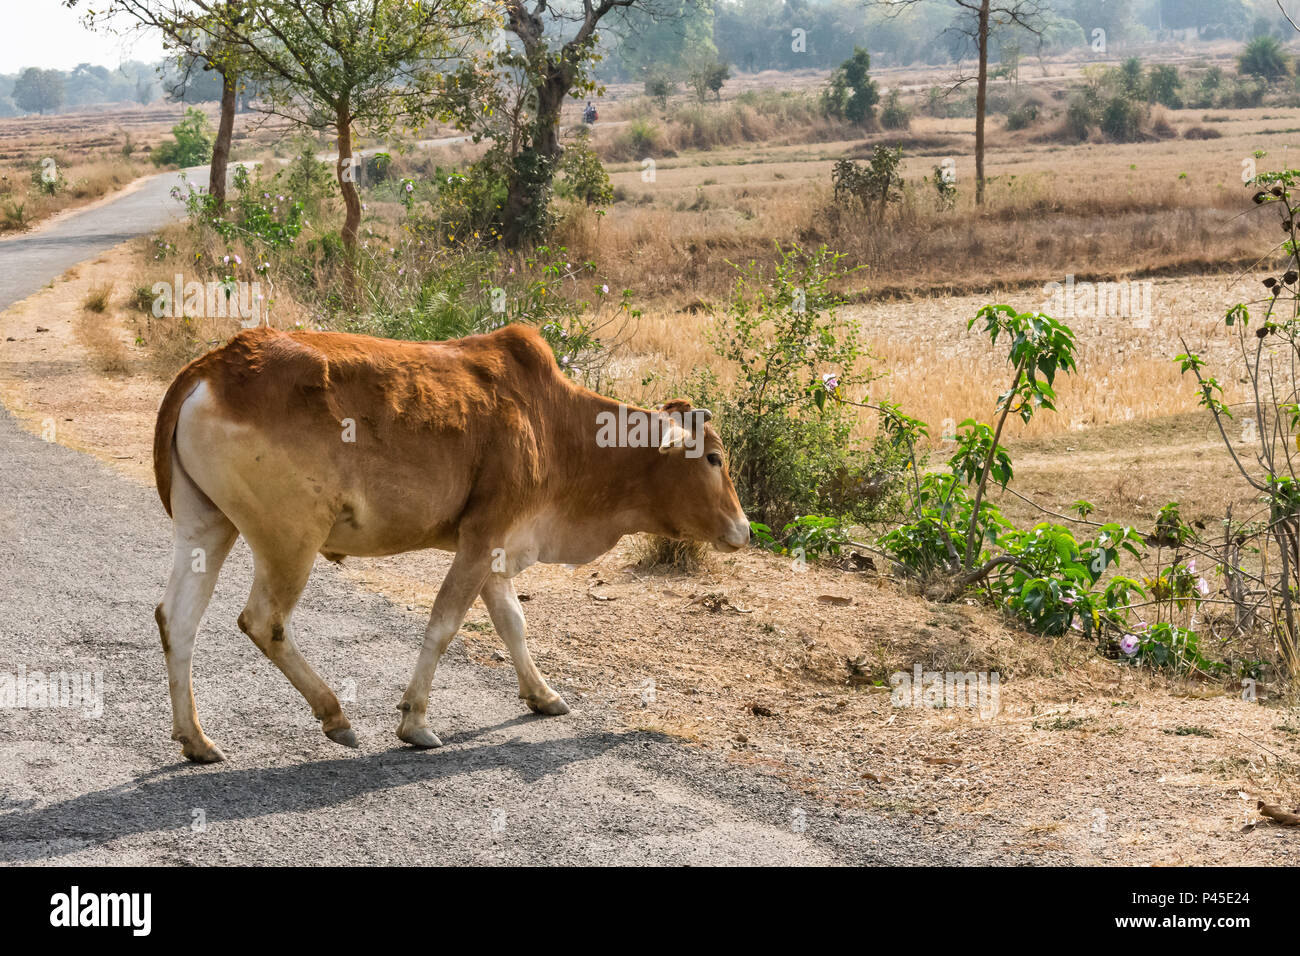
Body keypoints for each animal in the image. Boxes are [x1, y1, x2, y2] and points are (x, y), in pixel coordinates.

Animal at [152, 324, 749, 762]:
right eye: (713, 457)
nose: (744, 529)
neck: (555, 424)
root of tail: (214, 365)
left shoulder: (495, 547)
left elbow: (512, 623)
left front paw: (543, 695)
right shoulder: (482, 537)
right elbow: (443, 624)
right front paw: (415, 722)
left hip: (208, 525)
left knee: (177, 620)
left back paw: (196, 740)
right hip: (291, 538)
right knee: (263, 621)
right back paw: (335, 716)